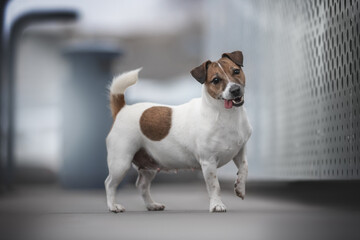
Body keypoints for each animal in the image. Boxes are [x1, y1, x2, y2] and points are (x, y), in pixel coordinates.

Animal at [105, 50, 252, 212]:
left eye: (236, 71)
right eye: (216, 80)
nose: (235, 90)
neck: (225, 115)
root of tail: (123, 109)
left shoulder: (240, 153)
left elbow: (244, 168)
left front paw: (240, 188)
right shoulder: (208, 162)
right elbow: (214, 186)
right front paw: (217, 205)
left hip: (149, 166)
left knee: (142, 185)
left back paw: (152, 205)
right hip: (120, 163)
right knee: (109, 184)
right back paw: (113, 206)